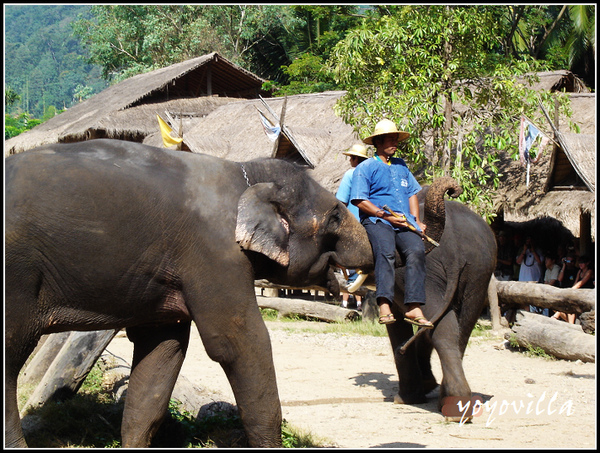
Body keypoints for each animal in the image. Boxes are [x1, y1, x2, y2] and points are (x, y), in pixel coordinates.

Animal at [5, 139, 376, 448]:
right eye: (335, 216)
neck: (246, 172)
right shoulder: (215, 252)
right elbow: (238, 342)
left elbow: (163, 350)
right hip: (17, 274)